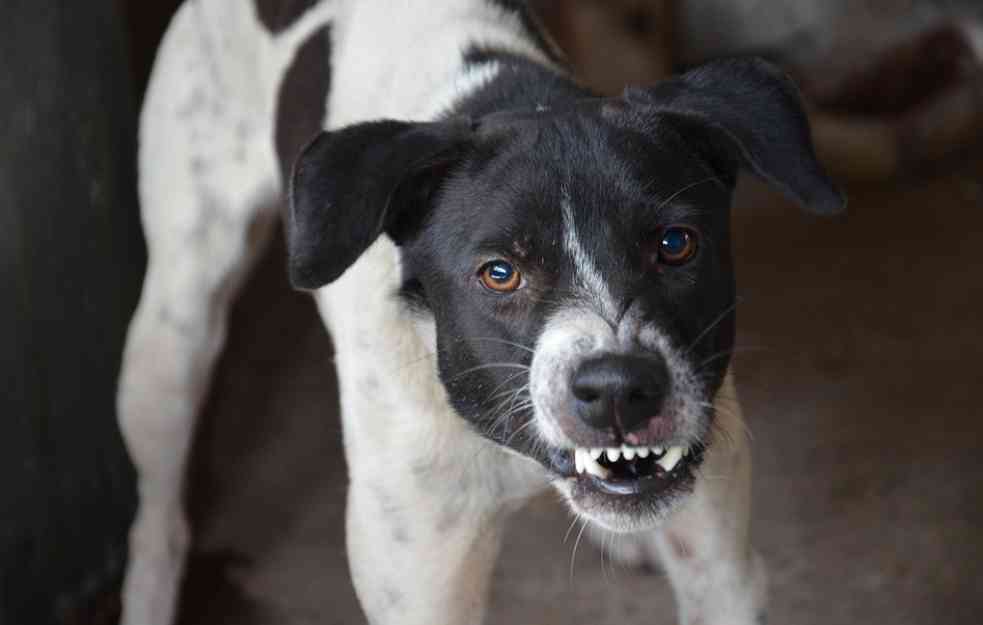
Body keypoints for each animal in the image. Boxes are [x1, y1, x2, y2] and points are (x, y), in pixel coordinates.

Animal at [119, 2, 844, 620]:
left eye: (675, 244)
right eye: (499, 273)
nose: (619, 388)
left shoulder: (722, 572)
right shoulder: (422, 584)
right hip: (173, 331)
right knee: (158, 514)